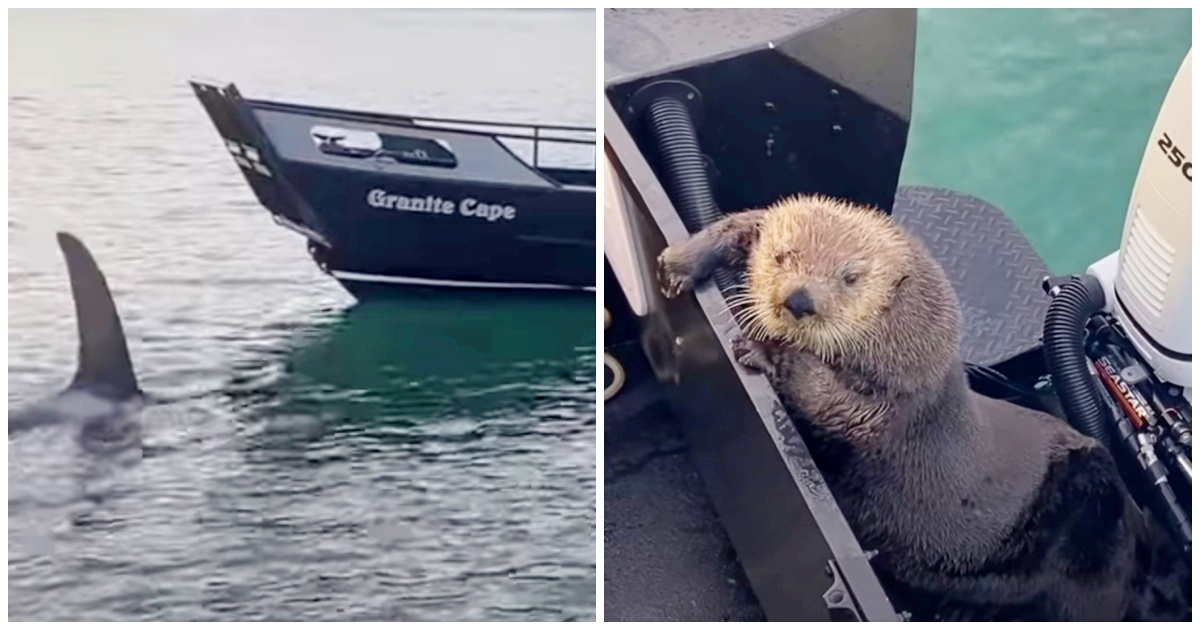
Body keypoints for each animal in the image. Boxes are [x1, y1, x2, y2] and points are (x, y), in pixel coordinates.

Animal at [657, 194, 1183, 621]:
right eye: (783, 256)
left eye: (850, 277)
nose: (799, 300)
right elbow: (746, 220)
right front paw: (680, 262)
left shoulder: (892, 402)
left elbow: (830, 400)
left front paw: (764, 349)